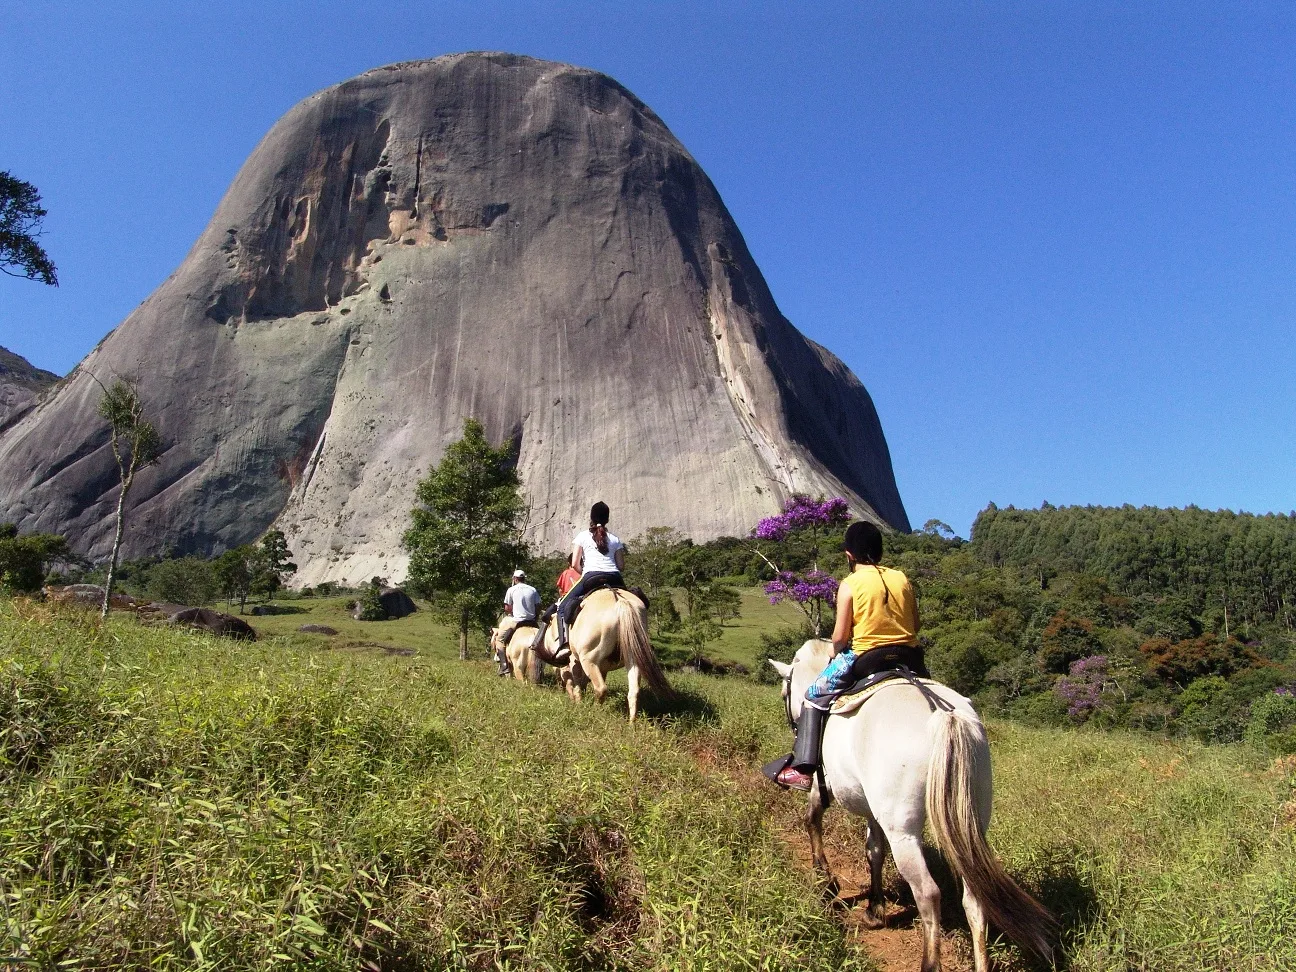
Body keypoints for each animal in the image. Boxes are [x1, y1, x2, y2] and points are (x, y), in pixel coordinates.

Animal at [767, 640, 1052, 972]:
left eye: (784, 694)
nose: (793, 724)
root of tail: (944, 716)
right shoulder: (873, 810)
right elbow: (874, 851)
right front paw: (875, 908)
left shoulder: (820, 786)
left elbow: (812, 821)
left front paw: (827, 884)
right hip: (972, 819)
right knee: (975, 897)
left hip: (903, 831)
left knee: (927, 893)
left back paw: (930, 963)